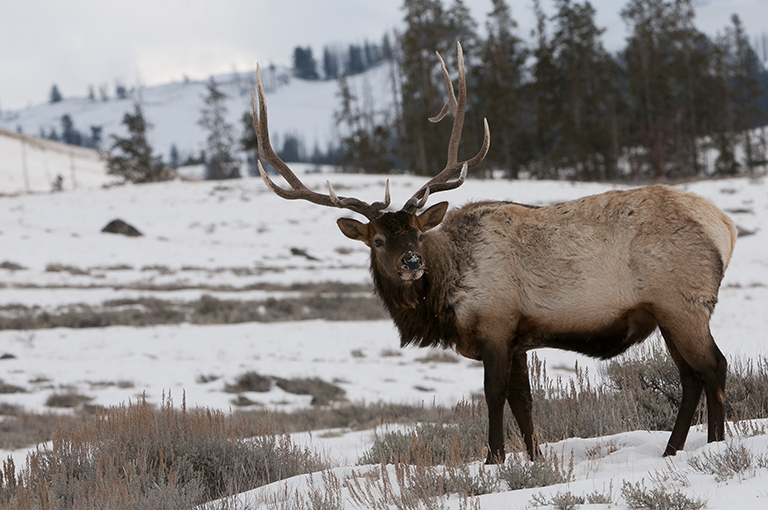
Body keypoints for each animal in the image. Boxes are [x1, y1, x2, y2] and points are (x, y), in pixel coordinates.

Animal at [252, 42, 736, 462]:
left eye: (417, 233)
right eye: (378, 240)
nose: (411, 263)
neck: (443, 299)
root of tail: (726, 228)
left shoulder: (497, 325)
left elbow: (493, 396)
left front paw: (493, 458)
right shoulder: (520, 338)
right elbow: (524, 402)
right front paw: (535, 457)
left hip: (682, 302)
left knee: (714, 367)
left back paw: (715, 444)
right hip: (666, 312)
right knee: (690, 377)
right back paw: (672, 449)